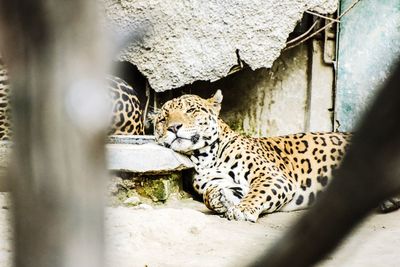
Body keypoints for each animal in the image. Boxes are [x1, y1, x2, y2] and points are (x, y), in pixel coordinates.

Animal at [153, 91, 354, 223]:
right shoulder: (227, 183)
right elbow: (212, 194)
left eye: (191, 110)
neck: (205, 157)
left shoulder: (272, 176)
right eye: (163, 119)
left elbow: (258, 192)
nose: (173, 127)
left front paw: (242, 210)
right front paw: (218, 198)